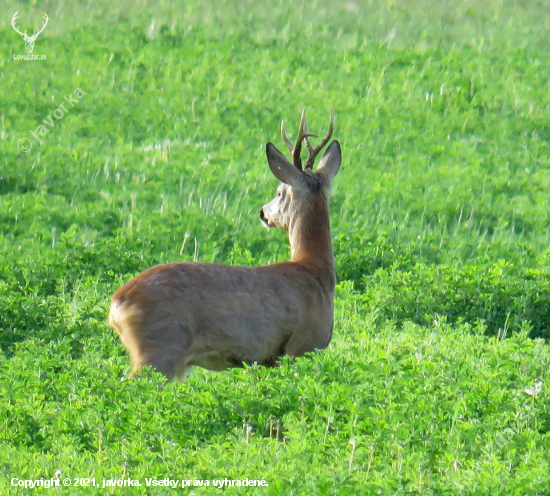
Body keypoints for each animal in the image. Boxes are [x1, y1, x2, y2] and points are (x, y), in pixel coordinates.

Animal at [107, 110, 340, 382]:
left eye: (279, 192)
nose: (263, 213)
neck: (314, 270)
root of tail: (116, 305)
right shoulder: (300, 346)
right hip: (160, 347)